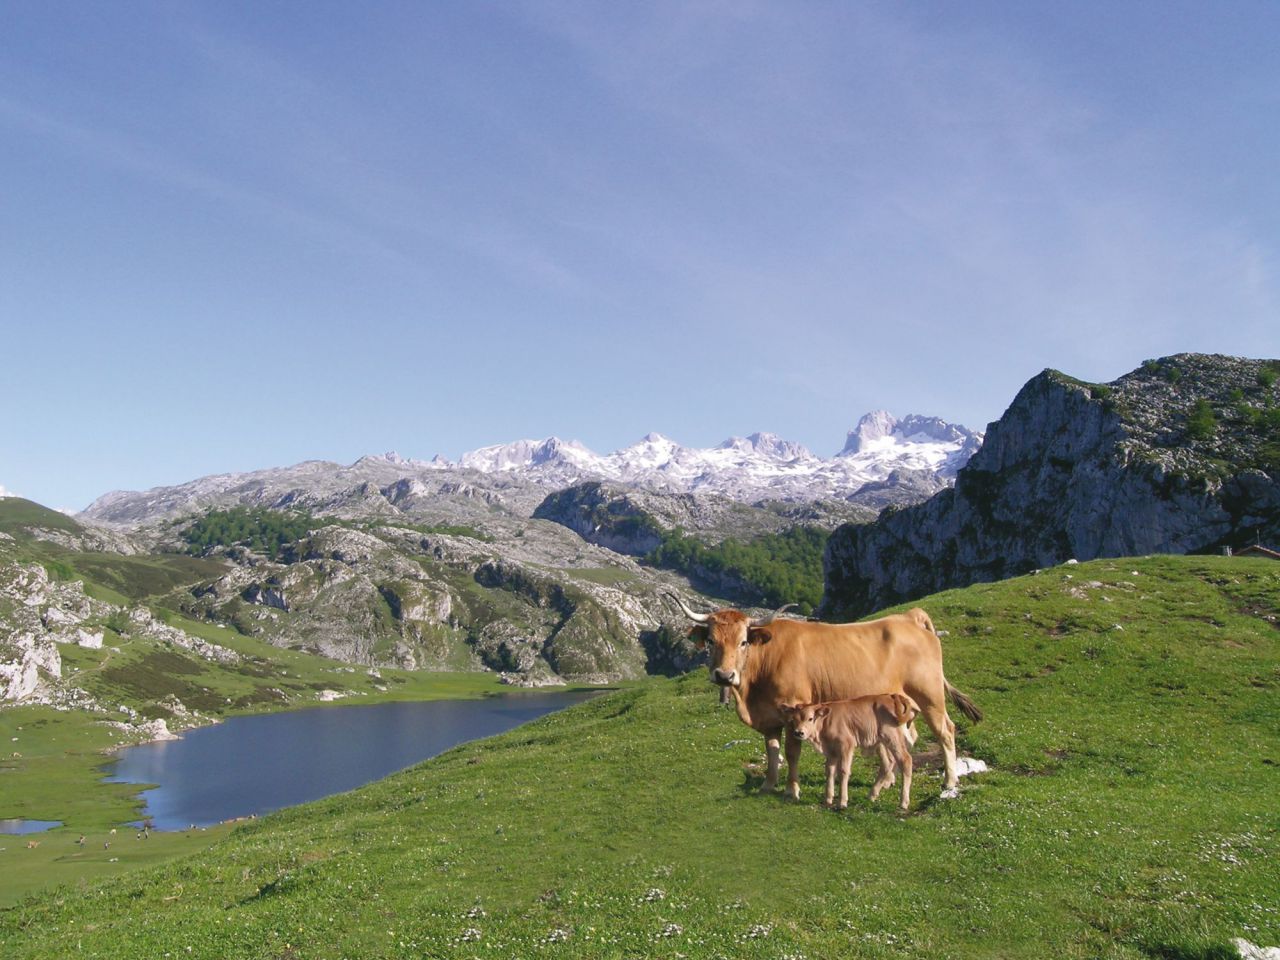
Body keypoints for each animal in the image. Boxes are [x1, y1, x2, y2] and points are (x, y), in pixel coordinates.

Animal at [670, 599, 977, 798]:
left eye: (743, 641)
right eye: (711, 641)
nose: (724, 675)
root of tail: (908, 617)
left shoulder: (795, 710)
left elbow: (791, 752)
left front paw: (791, 790)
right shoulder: (769, 718)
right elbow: (772, 750)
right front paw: (768, 785)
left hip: (930, 695)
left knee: (946, 731)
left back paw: (950, 781)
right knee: (908, 737)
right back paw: (888, 781)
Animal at [768, 696, 921, 814]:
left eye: (810, 718)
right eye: (793, 720)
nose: (799, 732)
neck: (825, 723)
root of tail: (891, 696)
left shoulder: (846, 746)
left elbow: (843, 771)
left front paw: (842, 802)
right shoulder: (831, 751)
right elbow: (829, 771)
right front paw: (828, 799)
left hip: (893, 738)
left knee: (905, 760)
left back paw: (903, 802)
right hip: (881, 742)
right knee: (888, 763)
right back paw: (872, 794)